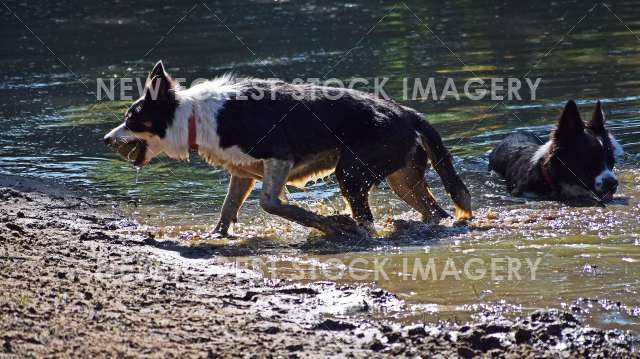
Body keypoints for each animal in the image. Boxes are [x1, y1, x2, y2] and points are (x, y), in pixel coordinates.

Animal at [101, 60, 470, 238]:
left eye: (131, 118)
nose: (105, 139)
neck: (193, 115)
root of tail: (407, 112)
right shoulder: (241, 173)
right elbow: (227, 209)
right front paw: (214, 236)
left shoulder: (278, 155)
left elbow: (271, 203)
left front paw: (325, 223)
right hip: (401, 178)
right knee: (434, 212)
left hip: (351, 172)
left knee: (365, 218)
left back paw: (351, 230)